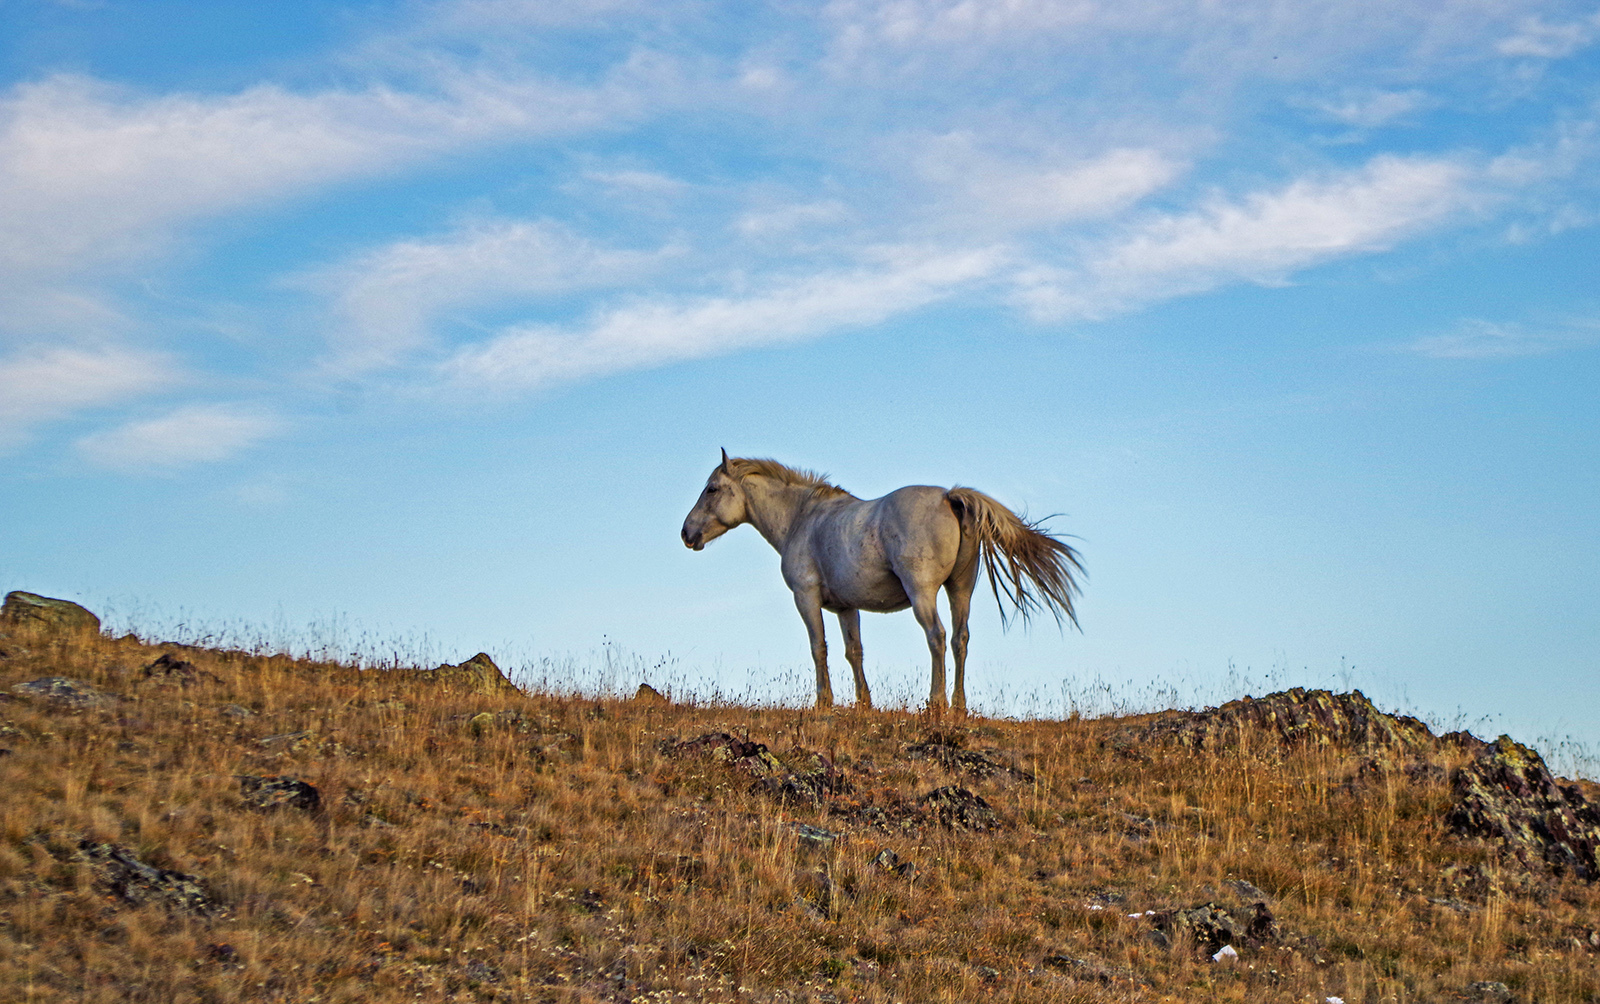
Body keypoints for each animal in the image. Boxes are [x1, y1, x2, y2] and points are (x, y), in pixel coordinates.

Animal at [681, 450, 1081, 709]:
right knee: (960, 639)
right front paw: (864, 704)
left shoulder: (806, 598)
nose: (687, 533)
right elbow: (853, 651)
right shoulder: (845, 607)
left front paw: (823, 704)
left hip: (923, 593)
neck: (803, 518)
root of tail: (949, 497)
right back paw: (958, 706)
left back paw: (936, 703)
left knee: (936, 637)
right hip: (960, 591)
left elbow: (819, 647)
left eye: (712, 489)